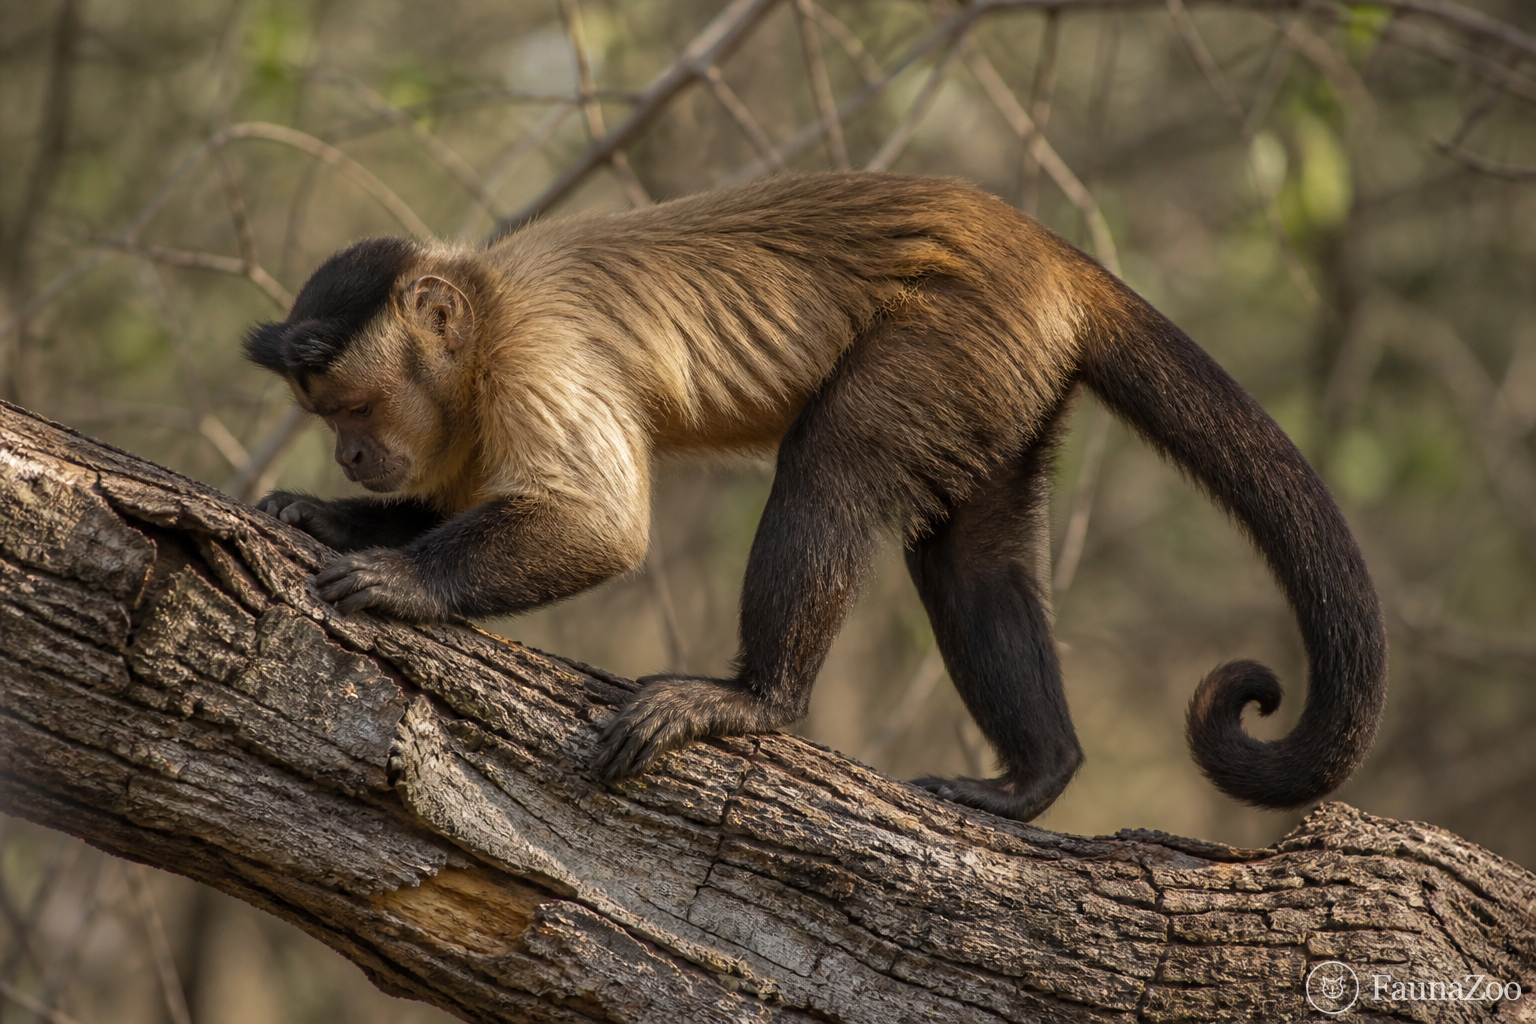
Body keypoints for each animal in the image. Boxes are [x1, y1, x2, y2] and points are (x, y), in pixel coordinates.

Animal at [244, 172, 1387, 822]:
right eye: (323, 415)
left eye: (351, 403)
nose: (351, 454)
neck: (479, 314)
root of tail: (1050, 253)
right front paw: (326, 518)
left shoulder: (535, 350)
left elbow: (600, 528)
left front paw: (402, 581)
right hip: (1003, 372)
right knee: (968, 553)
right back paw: (1035, 773)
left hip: (959, 329)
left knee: (834, 459)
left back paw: (758, 703)